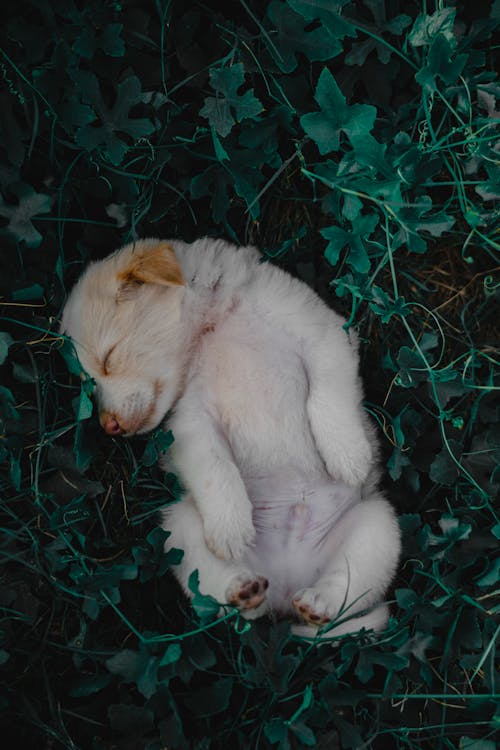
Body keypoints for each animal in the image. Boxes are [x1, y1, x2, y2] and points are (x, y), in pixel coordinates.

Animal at [60, 238, 402, 636]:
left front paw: (349, 454)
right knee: (238, 605)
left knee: (341, 588)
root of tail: (285, 592)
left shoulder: (325, 336)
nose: (108, 427)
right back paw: (244, 589)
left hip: (378, 526)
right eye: (90, 382)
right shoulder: (191, 420)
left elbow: (328, 397)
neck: (213, 327)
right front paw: (231, 524)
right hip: (178, 526)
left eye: (108, 359)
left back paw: (317, 602)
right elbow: (215, 468)